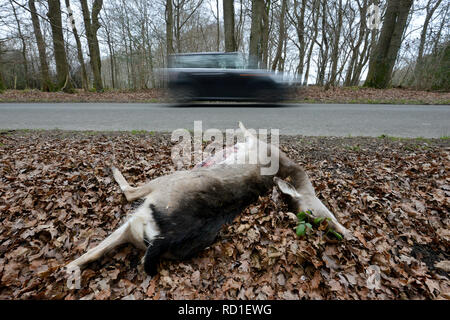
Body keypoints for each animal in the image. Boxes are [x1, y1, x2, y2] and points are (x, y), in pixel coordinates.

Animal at [65, 121, 350, 276]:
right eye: (320, 215)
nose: (348, 234)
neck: (289, 171)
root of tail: (164, 237)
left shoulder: (258, 143)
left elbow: (247, 130)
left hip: (162, 190)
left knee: (128, 196)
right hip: (137, 229)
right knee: (95, 252)